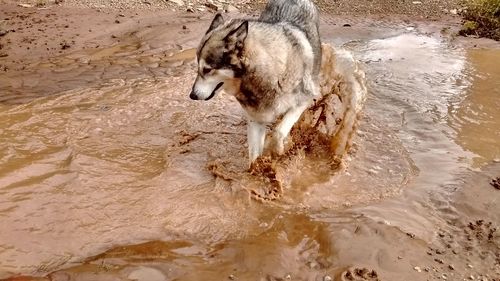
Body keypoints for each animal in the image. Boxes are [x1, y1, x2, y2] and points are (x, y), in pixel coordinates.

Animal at [189, 0, 322, 166]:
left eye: (207, 70)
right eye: (197, 68)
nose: (192, 95)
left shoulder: (304, 100)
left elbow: (278, 132)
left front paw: (277, 150)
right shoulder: (256, 119)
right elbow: (254, 156)